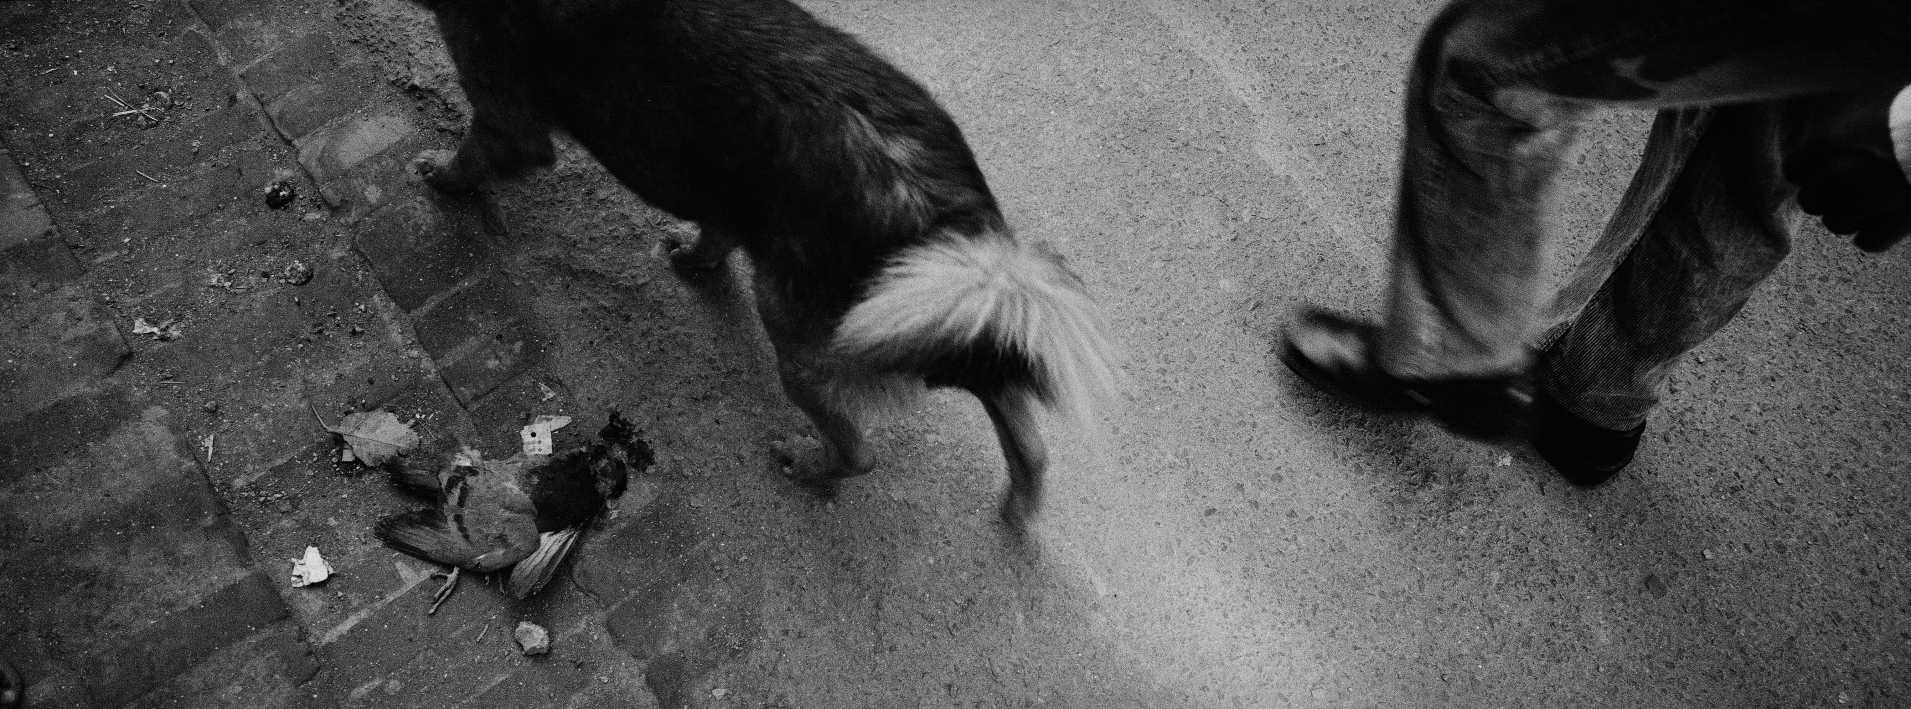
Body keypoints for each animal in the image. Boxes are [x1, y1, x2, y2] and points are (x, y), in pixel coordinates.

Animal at [410, 0, 1116, 531]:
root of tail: (947, 221)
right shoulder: (727, 189)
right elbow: (716, 230)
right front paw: (694, 260)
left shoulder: (506, 118)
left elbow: (470, 157)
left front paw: (438, 178)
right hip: (954, 309)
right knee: (1018, 419)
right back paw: (1022, 502)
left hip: (807, 335)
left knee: (859, 449)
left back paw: (810, 464)